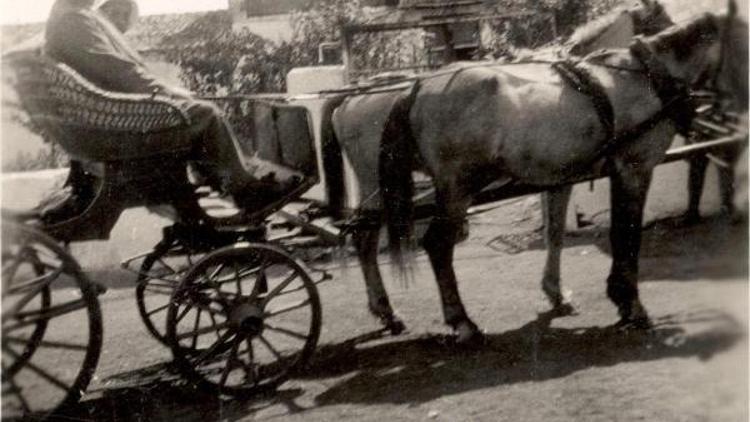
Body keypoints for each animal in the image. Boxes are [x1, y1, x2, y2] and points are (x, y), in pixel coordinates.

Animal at [326, 5, 748, 342]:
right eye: (655, 15)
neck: (642, 77)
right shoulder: (634, 168)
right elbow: (625, 235)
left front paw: (561, 294)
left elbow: (557, 233)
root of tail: (412, 90)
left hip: (385, 188)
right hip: (452, 186)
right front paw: (631, 305)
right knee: (436, 245)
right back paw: (461, 323)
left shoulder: (567, 177)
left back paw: (389, 312)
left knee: (366, 239)